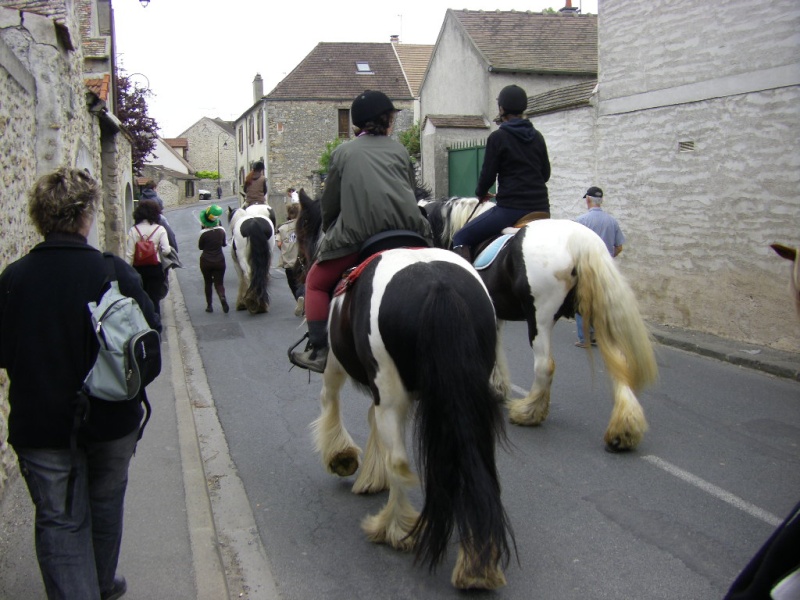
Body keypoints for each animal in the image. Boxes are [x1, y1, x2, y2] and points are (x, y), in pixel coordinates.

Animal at [292, 191, 512, 592]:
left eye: (301, 226)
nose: (300, 269)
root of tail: (439, 287)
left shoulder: (336, 367)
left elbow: (330, 403)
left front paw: (342, 457)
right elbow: (369, 421)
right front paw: (369, 475)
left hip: (390, 394)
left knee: (399, 460)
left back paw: (394, 529)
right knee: (477, 462)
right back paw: (477, 564)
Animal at [422, 197, 660, 450]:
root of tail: (578, 241)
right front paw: (497, 387)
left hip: (540, 318)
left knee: (545, 365)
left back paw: (529, 412)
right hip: (598, 312)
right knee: (620, 363)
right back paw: (624, 428)